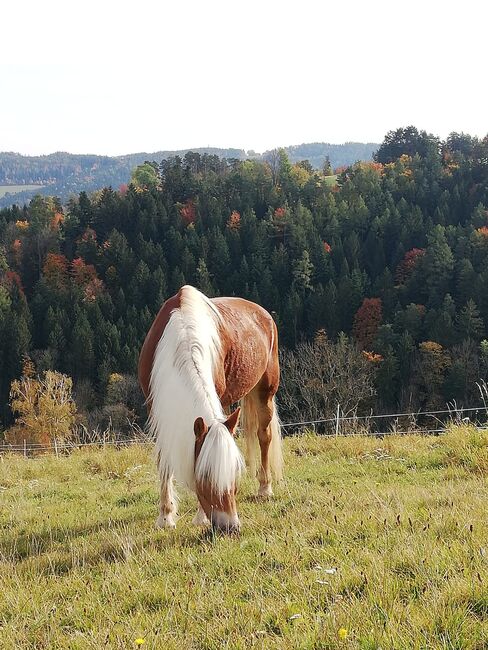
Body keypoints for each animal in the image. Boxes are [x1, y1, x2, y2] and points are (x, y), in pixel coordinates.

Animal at [137, 284, 282, 532]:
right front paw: (165, 517)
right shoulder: (158, 411)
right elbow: (164, 460)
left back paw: (265, 488)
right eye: (204, 478)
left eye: (234, 474)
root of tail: (263, 313)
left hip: (265, 392)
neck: (183, 336)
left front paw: (199, 517)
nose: (229, 527)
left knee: (264, 436)